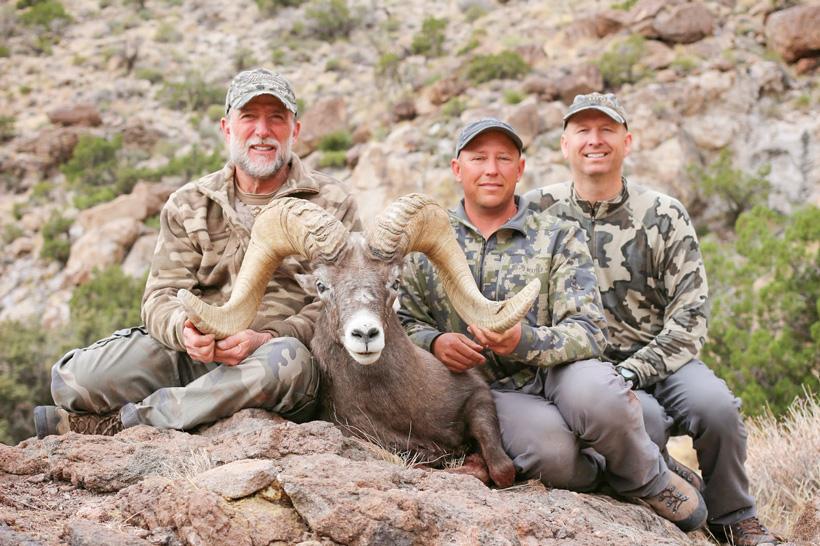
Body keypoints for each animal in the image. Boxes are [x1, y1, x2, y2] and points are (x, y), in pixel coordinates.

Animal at [178, 194, 541, 487]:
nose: (365, 334)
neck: (402, 407)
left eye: (395, 282)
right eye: (322, 285)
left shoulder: (478, 398)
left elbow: (502, 468)